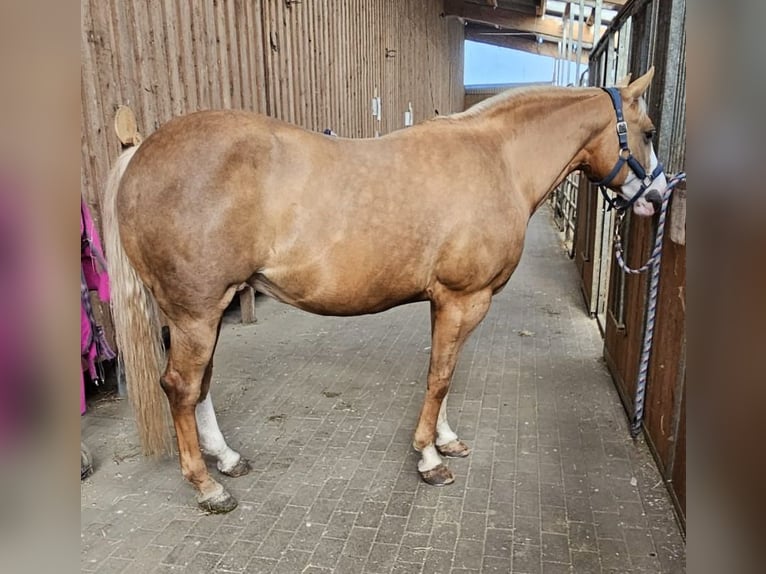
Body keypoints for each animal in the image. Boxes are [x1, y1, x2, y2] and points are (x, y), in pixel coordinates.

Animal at [100, 70, 664, 516]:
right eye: (649, 132)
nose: (658, 195)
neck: (497, 159)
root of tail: (140, 151)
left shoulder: (446, 302)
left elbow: (444, 373)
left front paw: (445, 440)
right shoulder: (463, 297)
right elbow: (439, 377)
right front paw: (429, 459)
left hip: (204, 310)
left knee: (201, 386)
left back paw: (228, 459)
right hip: (194, 312)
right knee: (180, 387)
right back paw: (207, 486)